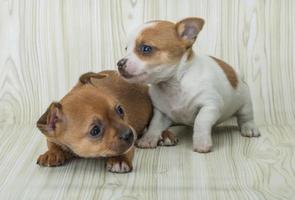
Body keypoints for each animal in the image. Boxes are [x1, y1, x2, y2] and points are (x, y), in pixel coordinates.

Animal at [118, 17, 262, 153]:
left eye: (146, 49)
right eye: (126, 49)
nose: (119, 63)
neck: (174, 84)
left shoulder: (209, 106)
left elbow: (200, 122)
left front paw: (202, 143)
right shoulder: (161, 113)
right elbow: (154, 125)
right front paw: (148, 139)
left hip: (245, 103)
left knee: (245, 117)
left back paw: (249, 128)